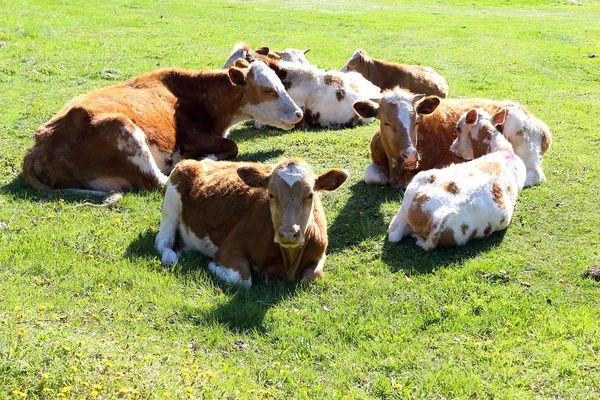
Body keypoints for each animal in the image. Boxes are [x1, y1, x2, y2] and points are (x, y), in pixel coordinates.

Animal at [22, 59, 304, 195]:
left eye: (281, 84)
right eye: (269, 91)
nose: (299, 114)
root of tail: (39, 144)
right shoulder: (193, 137)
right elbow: (231, 145)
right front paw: (207, 156)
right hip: (125, 130)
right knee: (159, 181)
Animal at [155, 158, 350, 286]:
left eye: (310, 195)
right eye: (271, 194)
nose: (288, 234)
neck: (289, 262)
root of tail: (199, 160)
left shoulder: (320, 253)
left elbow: (312, 276)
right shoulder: (228, 249)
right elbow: (243, 279)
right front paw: (212, 265)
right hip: (171, 202)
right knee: (163, 240)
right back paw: (170, 257)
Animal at [390, 108, 524, 248]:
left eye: (458, 128)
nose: (452, 147)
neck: (502, 151)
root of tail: (438, 215)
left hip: (413, 188)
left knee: (394, 231)